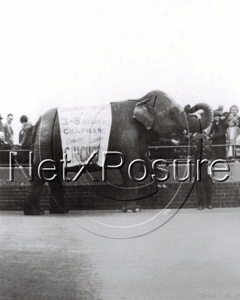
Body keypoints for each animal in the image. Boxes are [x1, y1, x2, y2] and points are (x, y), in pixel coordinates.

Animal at [23, 90, 213, 214]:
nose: (190, 107)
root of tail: (38, 121)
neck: (140, 100)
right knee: (42, 174)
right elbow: (130, 169)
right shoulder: (127, 135)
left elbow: (144, 160)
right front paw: (132, 210)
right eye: (174, 112)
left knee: (55, 177)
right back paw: (35, 212)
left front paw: (160, 181)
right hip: (45, 143)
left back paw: (61, 211)